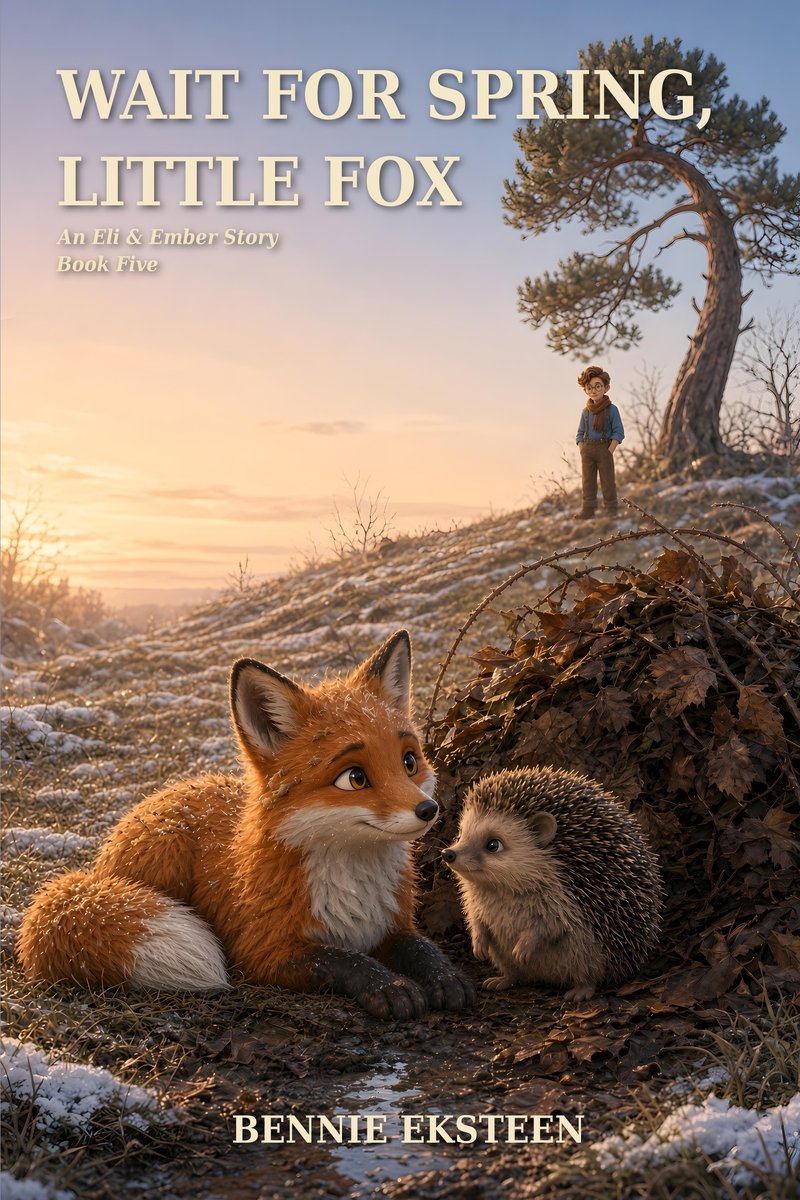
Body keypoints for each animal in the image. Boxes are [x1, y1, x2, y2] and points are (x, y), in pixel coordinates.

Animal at [18, 630, 476, 1020]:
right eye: (354, 778)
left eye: (409, 762)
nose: (428, 809)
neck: (353, 890)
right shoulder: (264, 950)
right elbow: (343, 960)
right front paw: (388, 987)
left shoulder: (393, 925)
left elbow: (420, 946)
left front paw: (444, 976)